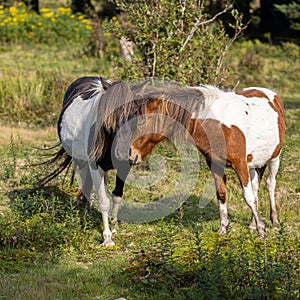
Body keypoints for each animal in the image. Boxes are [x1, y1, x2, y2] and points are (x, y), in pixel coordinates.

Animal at [40, 76, 147, 245]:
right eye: (110, 116)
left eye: (135, 113)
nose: (122, 153)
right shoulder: (95, 166)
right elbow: (103, 202)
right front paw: (107, 238)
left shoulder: (124, 166)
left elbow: (117, 195)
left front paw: (114, 222)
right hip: (81, 161)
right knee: (86, 185)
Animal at [130, 84, 284, 237]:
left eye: (142, 122)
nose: (132, 155)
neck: (219, 126)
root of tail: (272, 94)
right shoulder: (215, 164)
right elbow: (221, 194)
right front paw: (223, 229)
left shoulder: (240, 164)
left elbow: (248, 197)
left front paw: (261, 230)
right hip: (254, 163)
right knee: (256, 186)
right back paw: (252, 224)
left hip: (274, 158)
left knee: (270, 184)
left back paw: (274, 222)